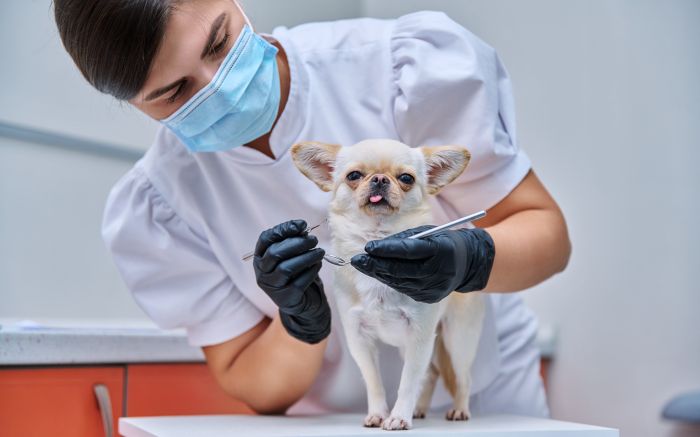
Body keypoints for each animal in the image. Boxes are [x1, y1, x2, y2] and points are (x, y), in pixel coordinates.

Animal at [292, 139, 484, 430]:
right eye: (354, 176)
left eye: (406, 178)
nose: (380, 179)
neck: (377, 237)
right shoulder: (359, 339)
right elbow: (374, 381)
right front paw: (378, 413)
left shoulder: (419, 336)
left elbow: (407, 382)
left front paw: (399, 417)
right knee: (429, 375)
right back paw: (420, 409)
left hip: (457, 339)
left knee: (462, 377)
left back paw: (459, 410)